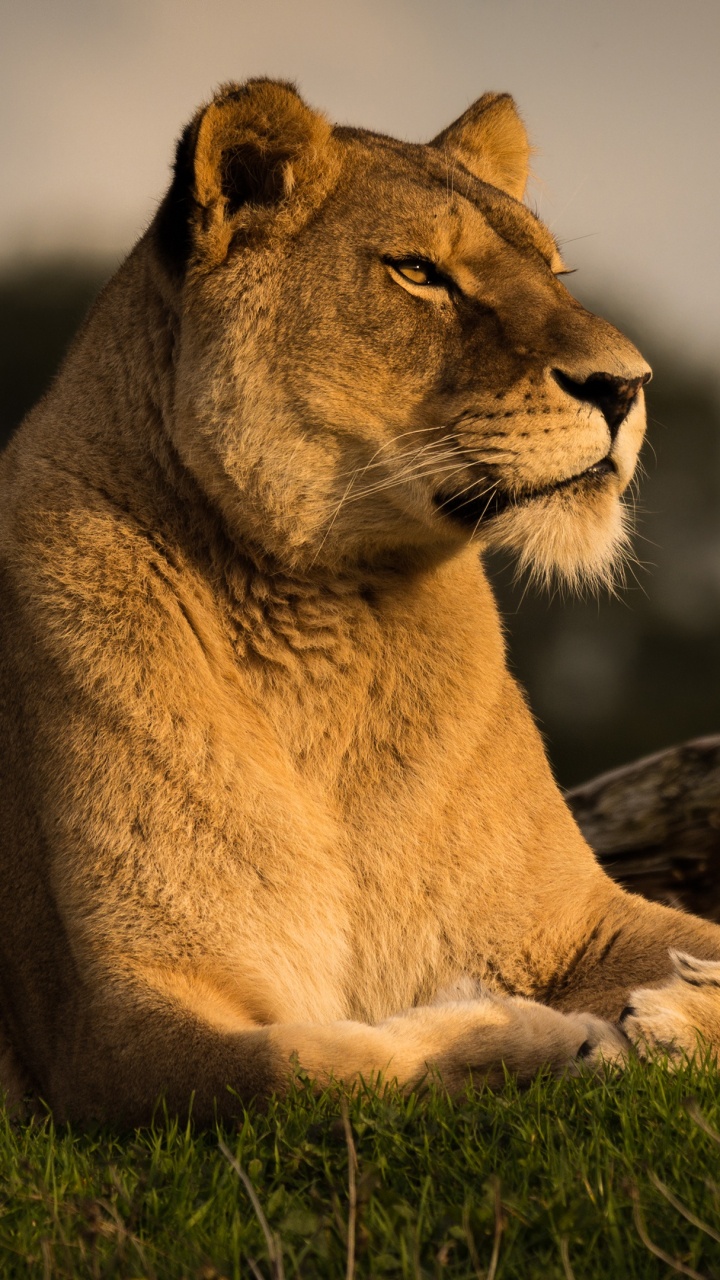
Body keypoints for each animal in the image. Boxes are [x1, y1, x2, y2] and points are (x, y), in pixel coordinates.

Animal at [1, 78, 720, 1124]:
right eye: (420, 272)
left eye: (556, 271)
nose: (627, 386)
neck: (331, 611)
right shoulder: (108, 1028)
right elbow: (312, 1065)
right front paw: (536, 1035)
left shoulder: (575, 920)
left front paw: (677, 1009)